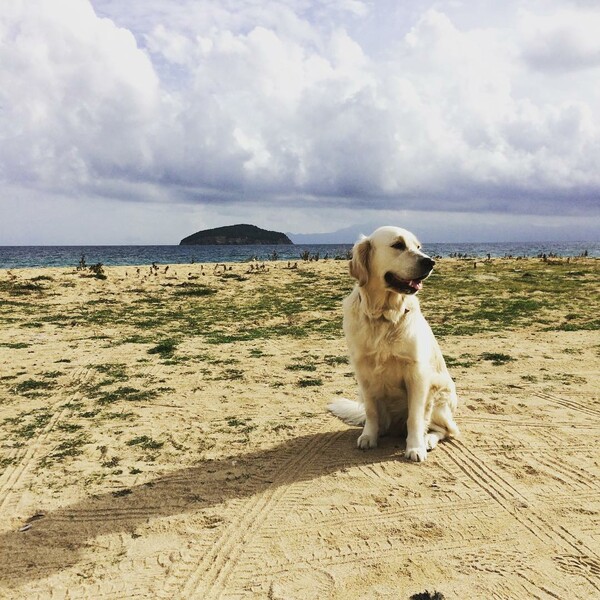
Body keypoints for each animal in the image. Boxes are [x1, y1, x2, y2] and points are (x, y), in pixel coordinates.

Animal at [328, 227, 460, 462]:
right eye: (398, 245)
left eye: (418, 247)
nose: (430, 262)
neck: (383, 315)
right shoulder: (363, 372)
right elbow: (371, 412)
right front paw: (369, 436)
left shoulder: (417, 374)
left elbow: (415, 417)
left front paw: (415, 447)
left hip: (439, 395)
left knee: (447, 430)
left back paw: (427, 439)